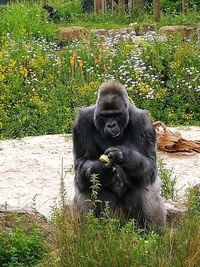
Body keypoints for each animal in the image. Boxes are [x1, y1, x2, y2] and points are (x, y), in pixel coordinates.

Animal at [72, 80, 166, 230]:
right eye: (105, 116)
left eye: (116, 114)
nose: (111, 125)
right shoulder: (82, 121)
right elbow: (81, 164)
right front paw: (99, 169)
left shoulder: (143, 122)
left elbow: (150, 166)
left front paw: (124, 156)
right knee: (87, 186)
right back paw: (93, 232)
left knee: (144, 183)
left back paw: (152, 233)